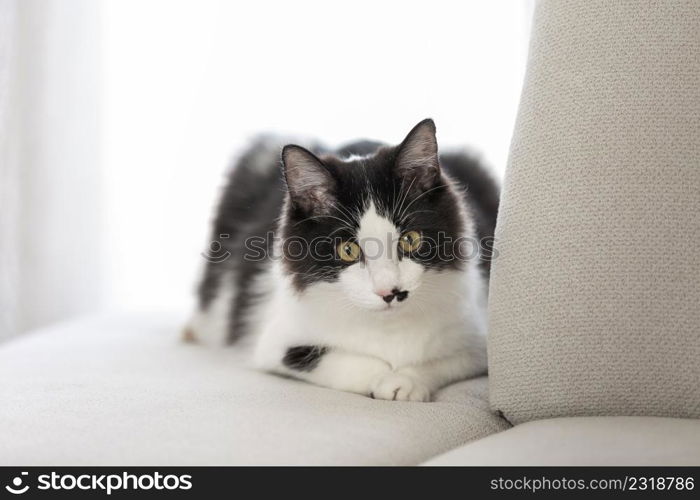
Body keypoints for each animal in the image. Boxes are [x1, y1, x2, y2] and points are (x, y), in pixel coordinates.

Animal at [189, 118, 500, 402]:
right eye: (348, 250)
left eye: (410, 239)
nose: (391, 292)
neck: (388, 327)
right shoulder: (275, 342)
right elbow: (337, 362)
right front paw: (384, 378)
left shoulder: (480, 338)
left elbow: (447, 359)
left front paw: (406, 380)